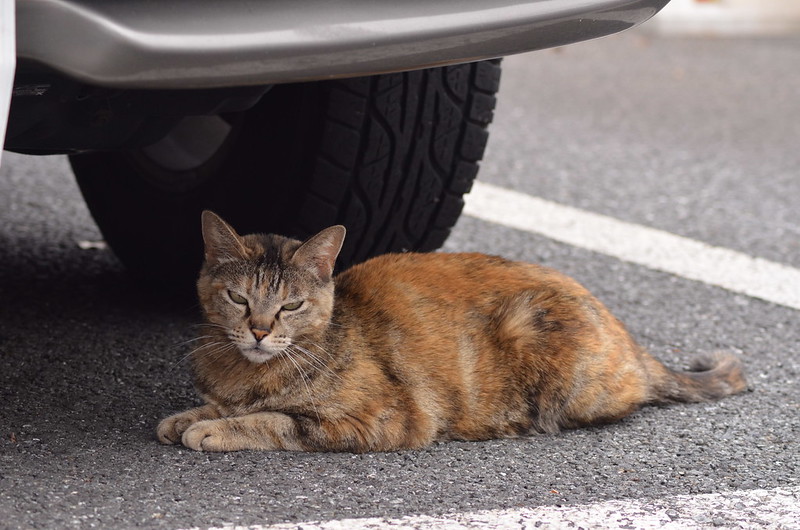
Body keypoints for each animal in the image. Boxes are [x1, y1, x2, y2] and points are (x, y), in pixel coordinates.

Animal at [157, 211, 748, 453]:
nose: (258, 331)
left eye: (291, 305)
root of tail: (632, 342)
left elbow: (276, 420)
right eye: (239, 298)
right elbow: (219, 406)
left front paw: (213, 429)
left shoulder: (385, 419)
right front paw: (191, 415)